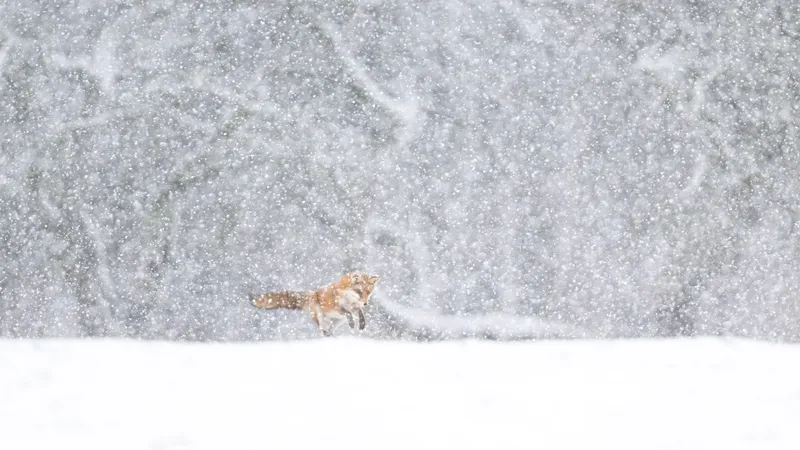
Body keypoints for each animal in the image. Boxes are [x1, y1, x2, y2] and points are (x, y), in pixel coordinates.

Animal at [250, 271, 380, 337]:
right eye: (360, 291)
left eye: (368, 292)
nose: (365, 303)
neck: (348, 297)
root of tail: (312, 293)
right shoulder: (336, 306)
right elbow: (347, 312)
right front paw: (355, 322)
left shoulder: (354, 307)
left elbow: (359, 312)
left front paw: (362, 323)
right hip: (319, 314)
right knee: (320, 328)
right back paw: (325, 333)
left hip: (339, 321)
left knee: (330, 330)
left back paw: (331, 335)